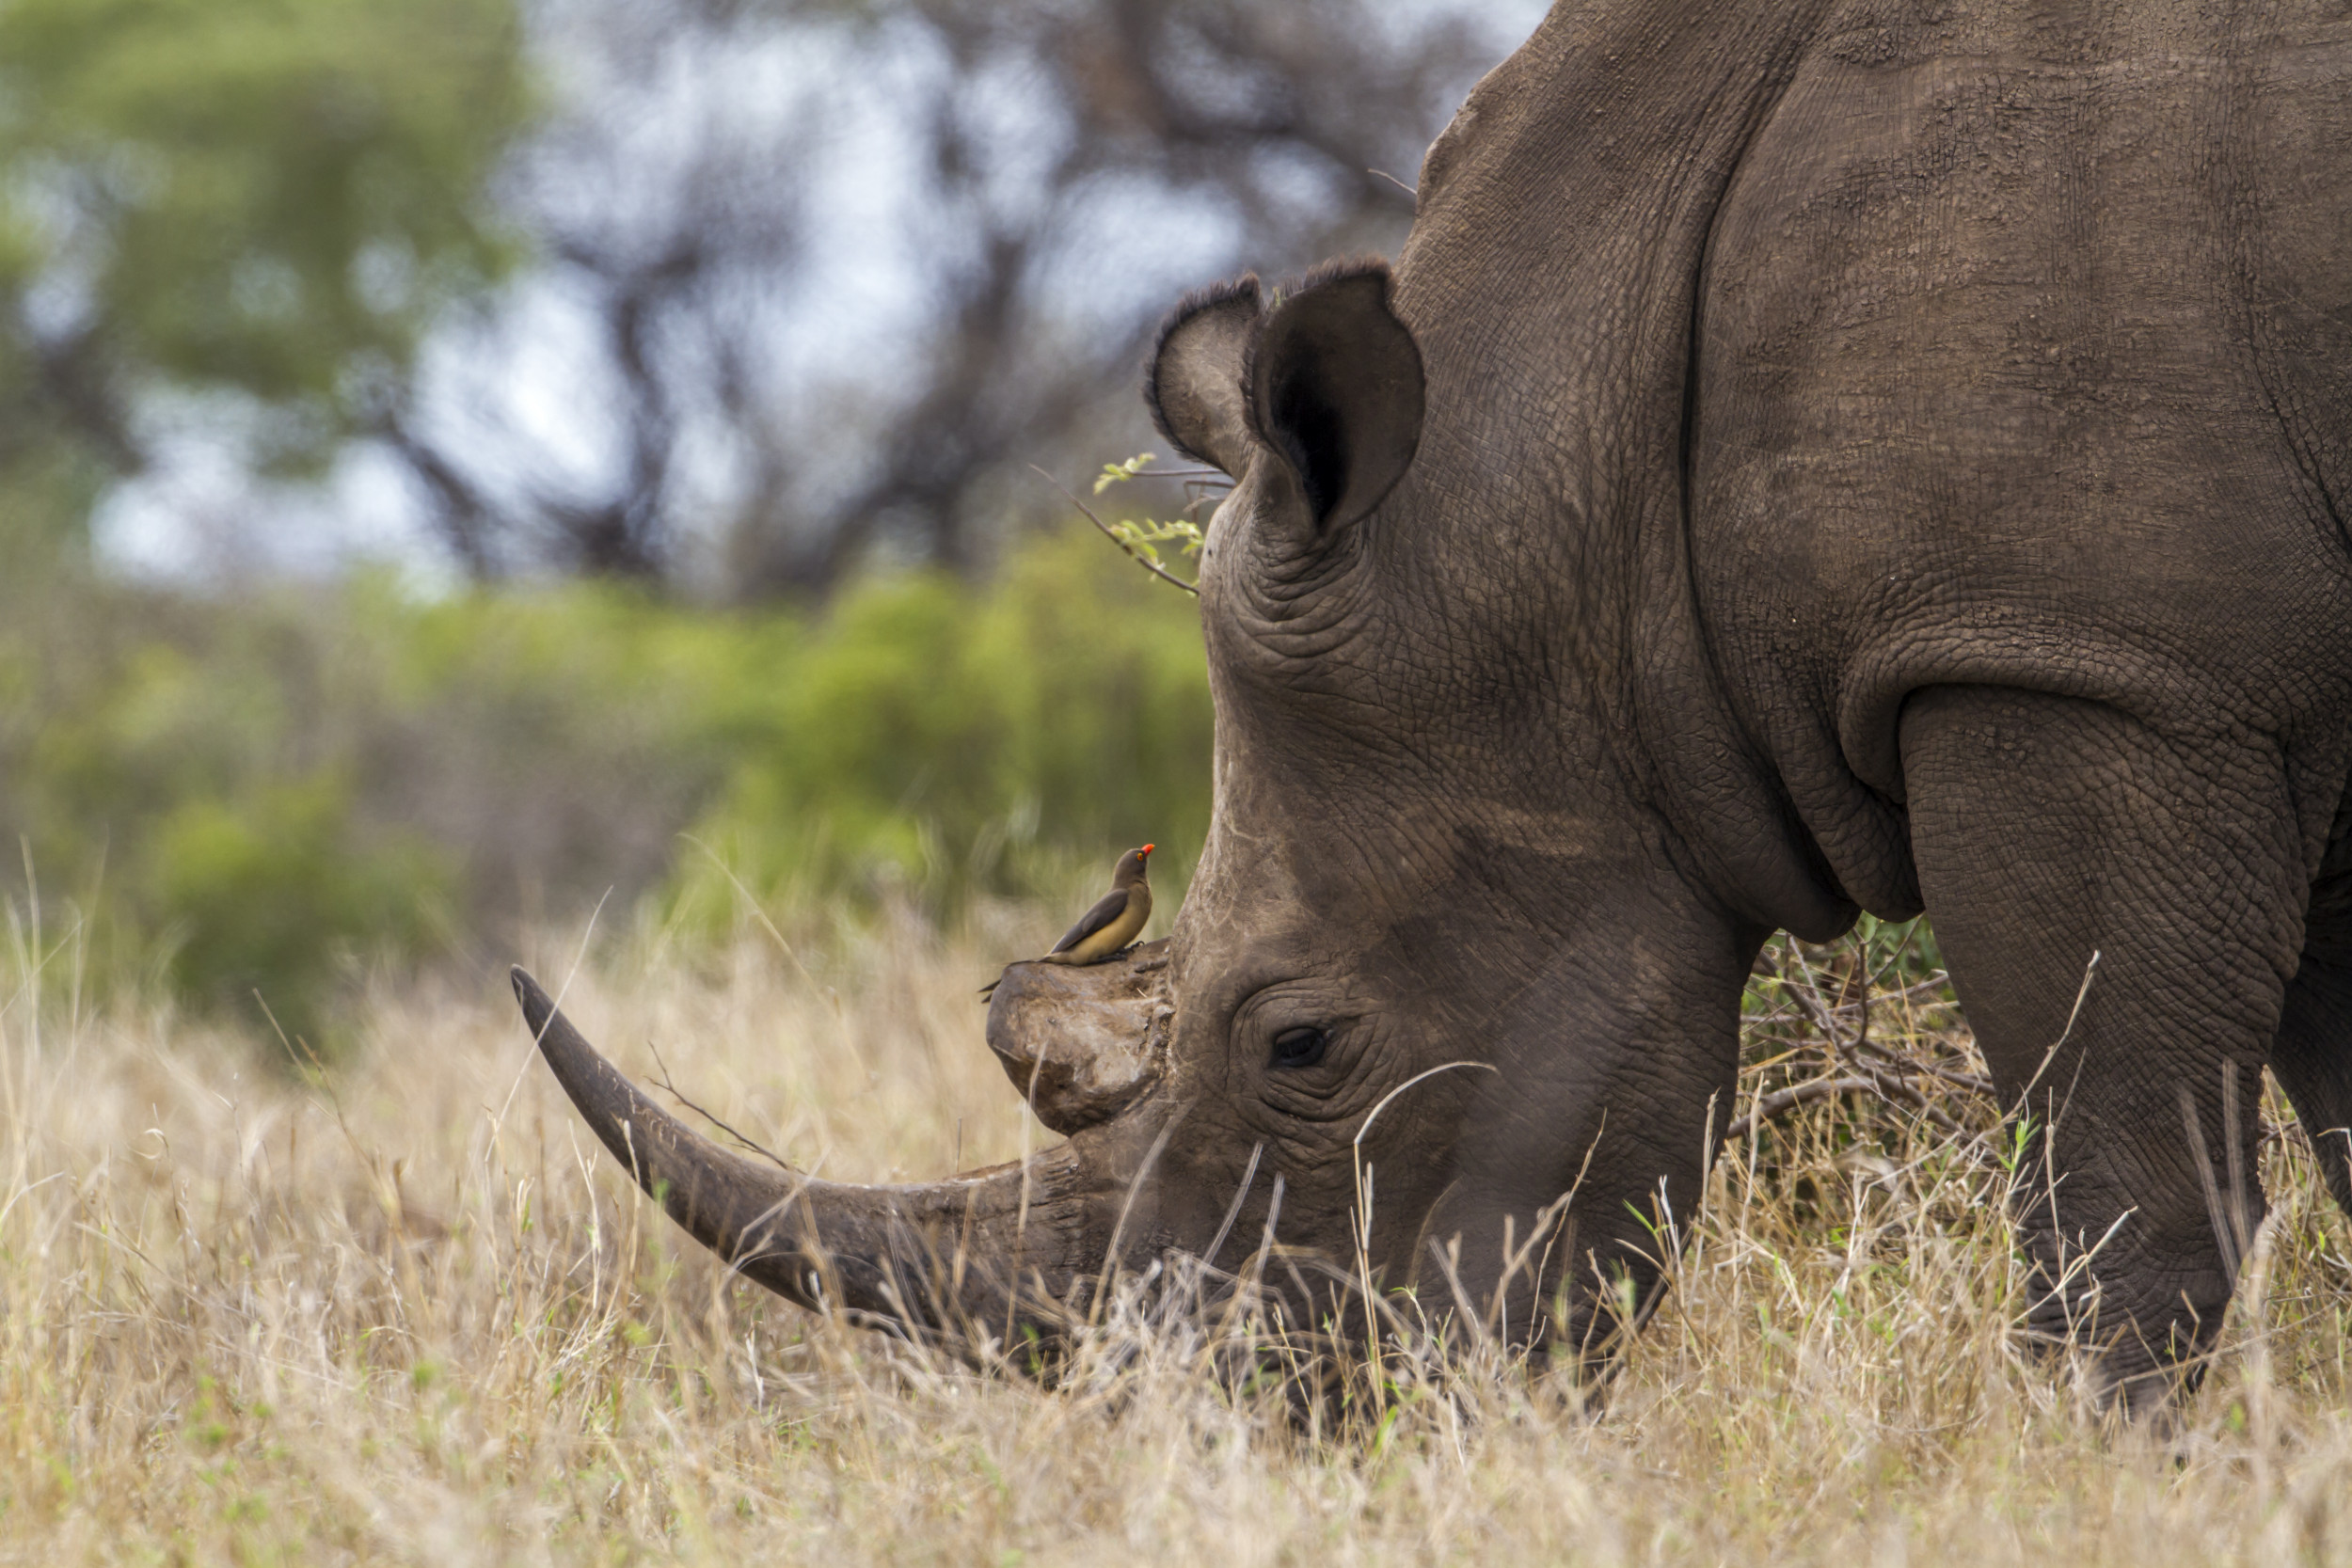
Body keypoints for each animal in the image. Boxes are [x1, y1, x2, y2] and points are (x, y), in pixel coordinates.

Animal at [511, 0, 2352, 1411]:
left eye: (1304, 1044)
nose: (1261, 1414)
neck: (1574, 496)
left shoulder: (2080, 657)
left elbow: (2122, 1176)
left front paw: (2107, 1464)